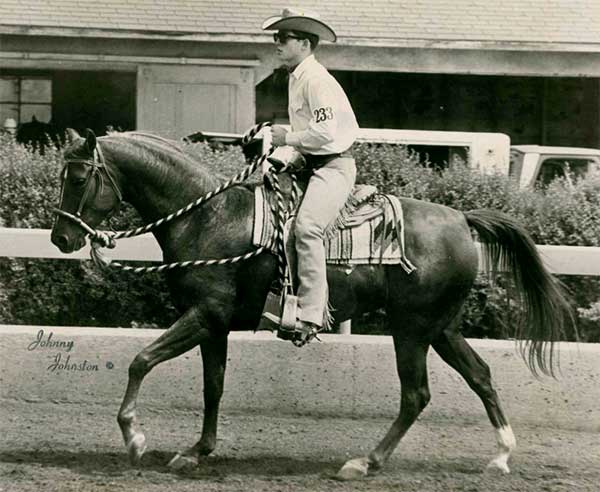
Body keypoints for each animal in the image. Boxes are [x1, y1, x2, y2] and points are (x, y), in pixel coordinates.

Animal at [49, 128, 568, 480]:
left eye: (78, 177)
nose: (60, 237)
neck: (210, 216)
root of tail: (462, 218)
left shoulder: (203, 315)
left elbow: (141, 360)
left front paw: (134, 438)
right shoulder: (215, 325)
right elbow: (213, 387)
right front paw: (197, 451)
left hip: (412, 329)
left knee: (416, 394)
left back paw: (366, 461)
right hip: (440, 327)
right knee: (479, 375)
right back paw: (500, 455)